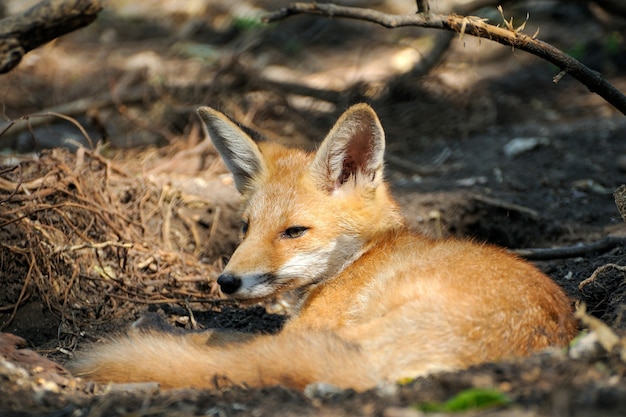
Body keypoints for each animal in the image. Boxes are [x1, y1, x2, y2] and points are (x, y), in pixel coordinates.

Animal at [69, 103, 576, 390]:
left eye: (294, 232)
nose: (226, 282)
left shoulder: (303, 329)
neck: (359, 258)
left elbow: (220, 339)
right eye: (246, 228)